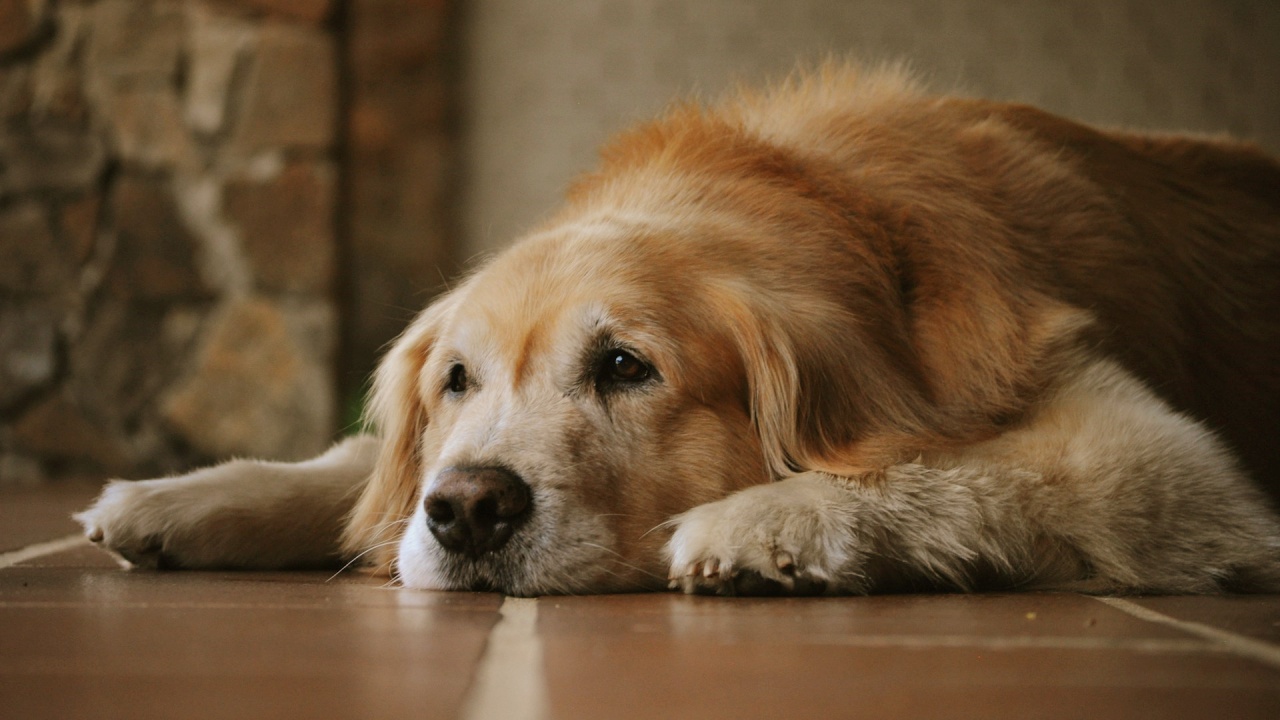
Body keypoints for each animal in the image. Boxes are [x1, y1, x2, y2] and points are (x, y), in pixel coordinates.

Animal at [74, 65, 1274, 594]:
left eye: (624, 366)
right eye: (457, 381)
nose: (467, 512)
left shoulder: (1157, 459)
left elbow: (942, 466)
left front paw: (768, 520)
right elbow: (362, 470)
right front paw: (187, 497)